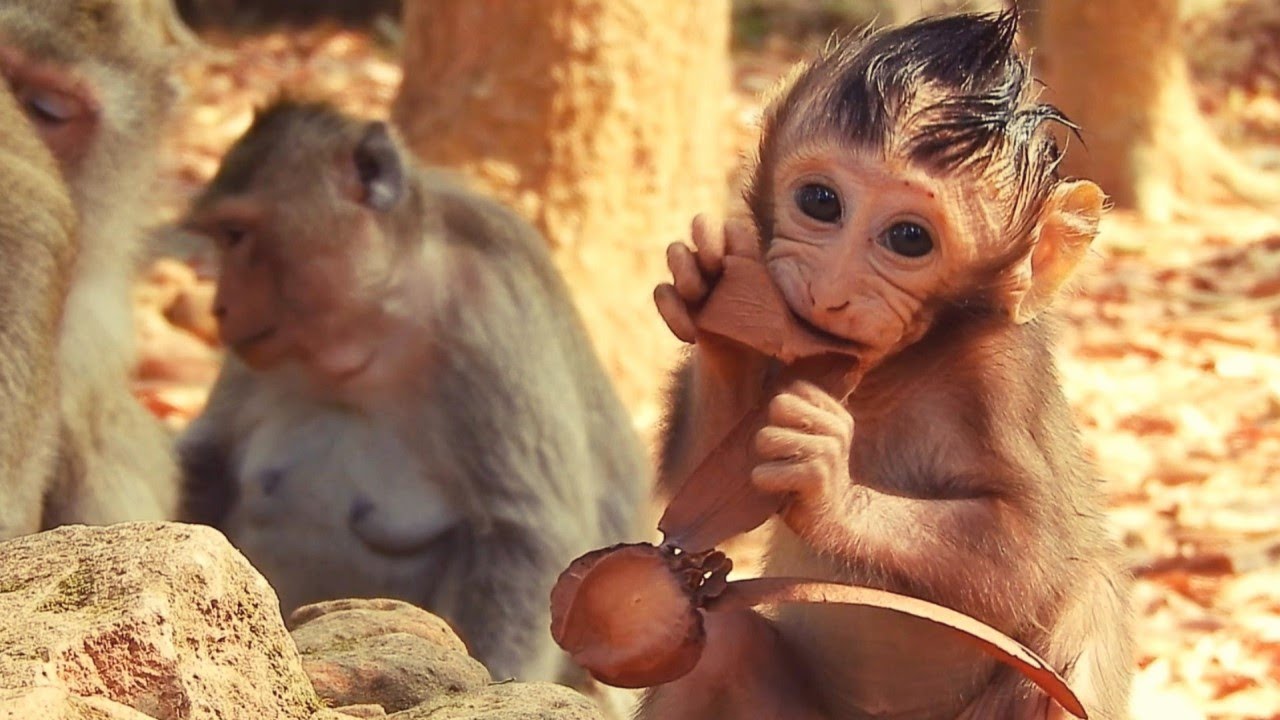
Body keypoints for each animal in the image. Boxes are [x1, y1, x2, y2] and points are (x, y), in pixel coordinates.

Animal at [176, 99, 650, 684]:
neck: (374, 330)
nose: (219, 306)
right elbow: (209, 457)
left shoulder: (490, 319)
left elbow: (524, 534)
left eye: (236, 234)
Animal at [643, 12, 1132, 720]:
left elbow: (1036, 556)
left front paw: (825, 480)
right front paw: (707, 288)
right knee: (720, 647)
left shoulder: (1001, 379)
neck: (888, 372)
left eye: (909, 238)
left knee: (1084, 611)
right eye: (821, 201)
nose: (831, 288)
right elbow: (691, 488)